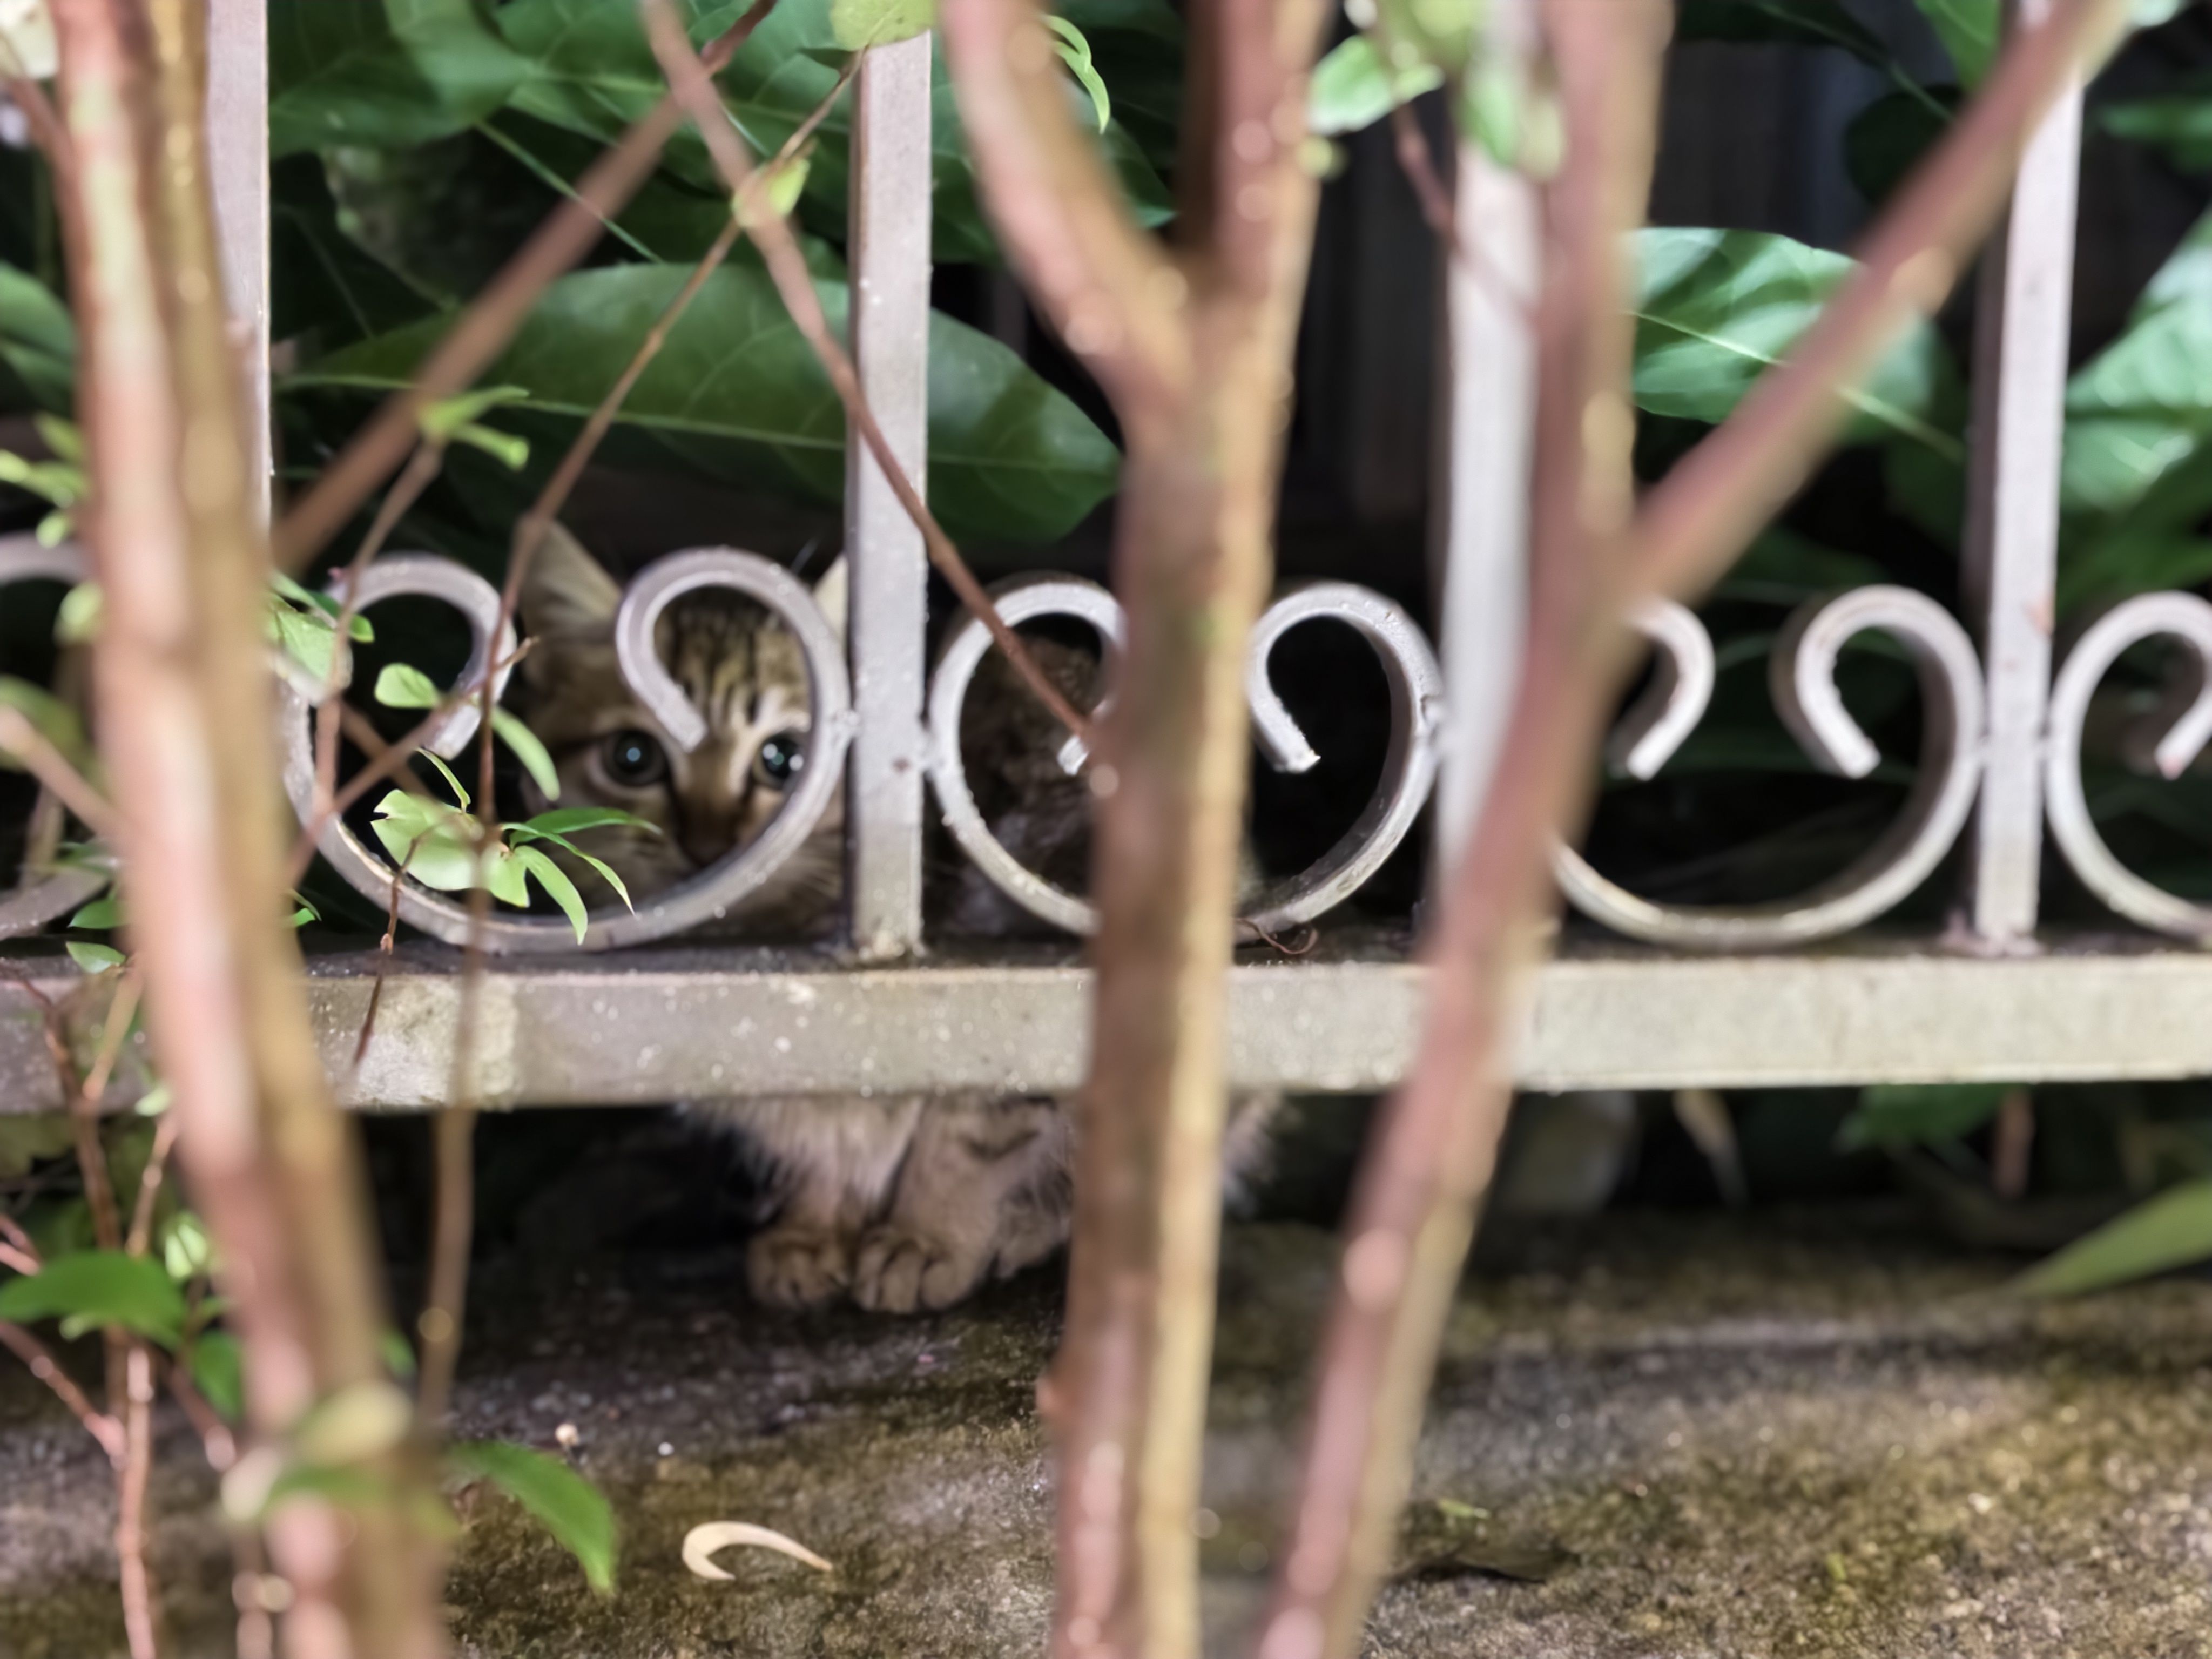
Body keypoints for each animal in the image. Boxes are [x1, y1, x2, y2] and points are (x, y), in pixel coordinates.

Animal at [515, 527, 1274, 1313]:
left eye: (783, 759)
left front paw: (928, 1238)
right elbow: (827, 1133)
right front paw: (815, 1228)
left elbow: (967, 1138)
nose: (711, 845)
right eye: (631, 757)